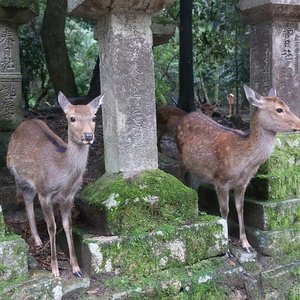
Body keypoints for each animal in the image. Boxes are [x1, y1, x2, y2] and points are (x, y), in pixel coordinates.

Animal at [6, 92, 103, 278]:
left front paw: (76, 269)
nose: (88, 136)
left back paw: (37, 239)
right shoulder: (45, 193)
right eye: (72, 118)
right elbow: (52, 227)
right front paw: (55, 269)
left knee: (28, 197)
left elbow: (68, 225)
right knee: (24, 196)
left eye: (94, 117)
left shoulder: (69, 197)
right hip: (20, 175)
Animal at [175, 85, 300, 252]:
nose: (299, 124)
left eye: (288, 106)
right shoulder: (220, 179)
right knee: (181, 177)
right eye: (279, 109)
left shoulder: (243, 183)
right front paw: (226, 246)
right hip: (179, 157)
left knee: (193, 183)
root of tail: (185, 116)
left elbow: (241, 209)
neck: (244, 163)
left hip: (197, 167)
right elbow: (225, 210)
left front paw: (246, 244)